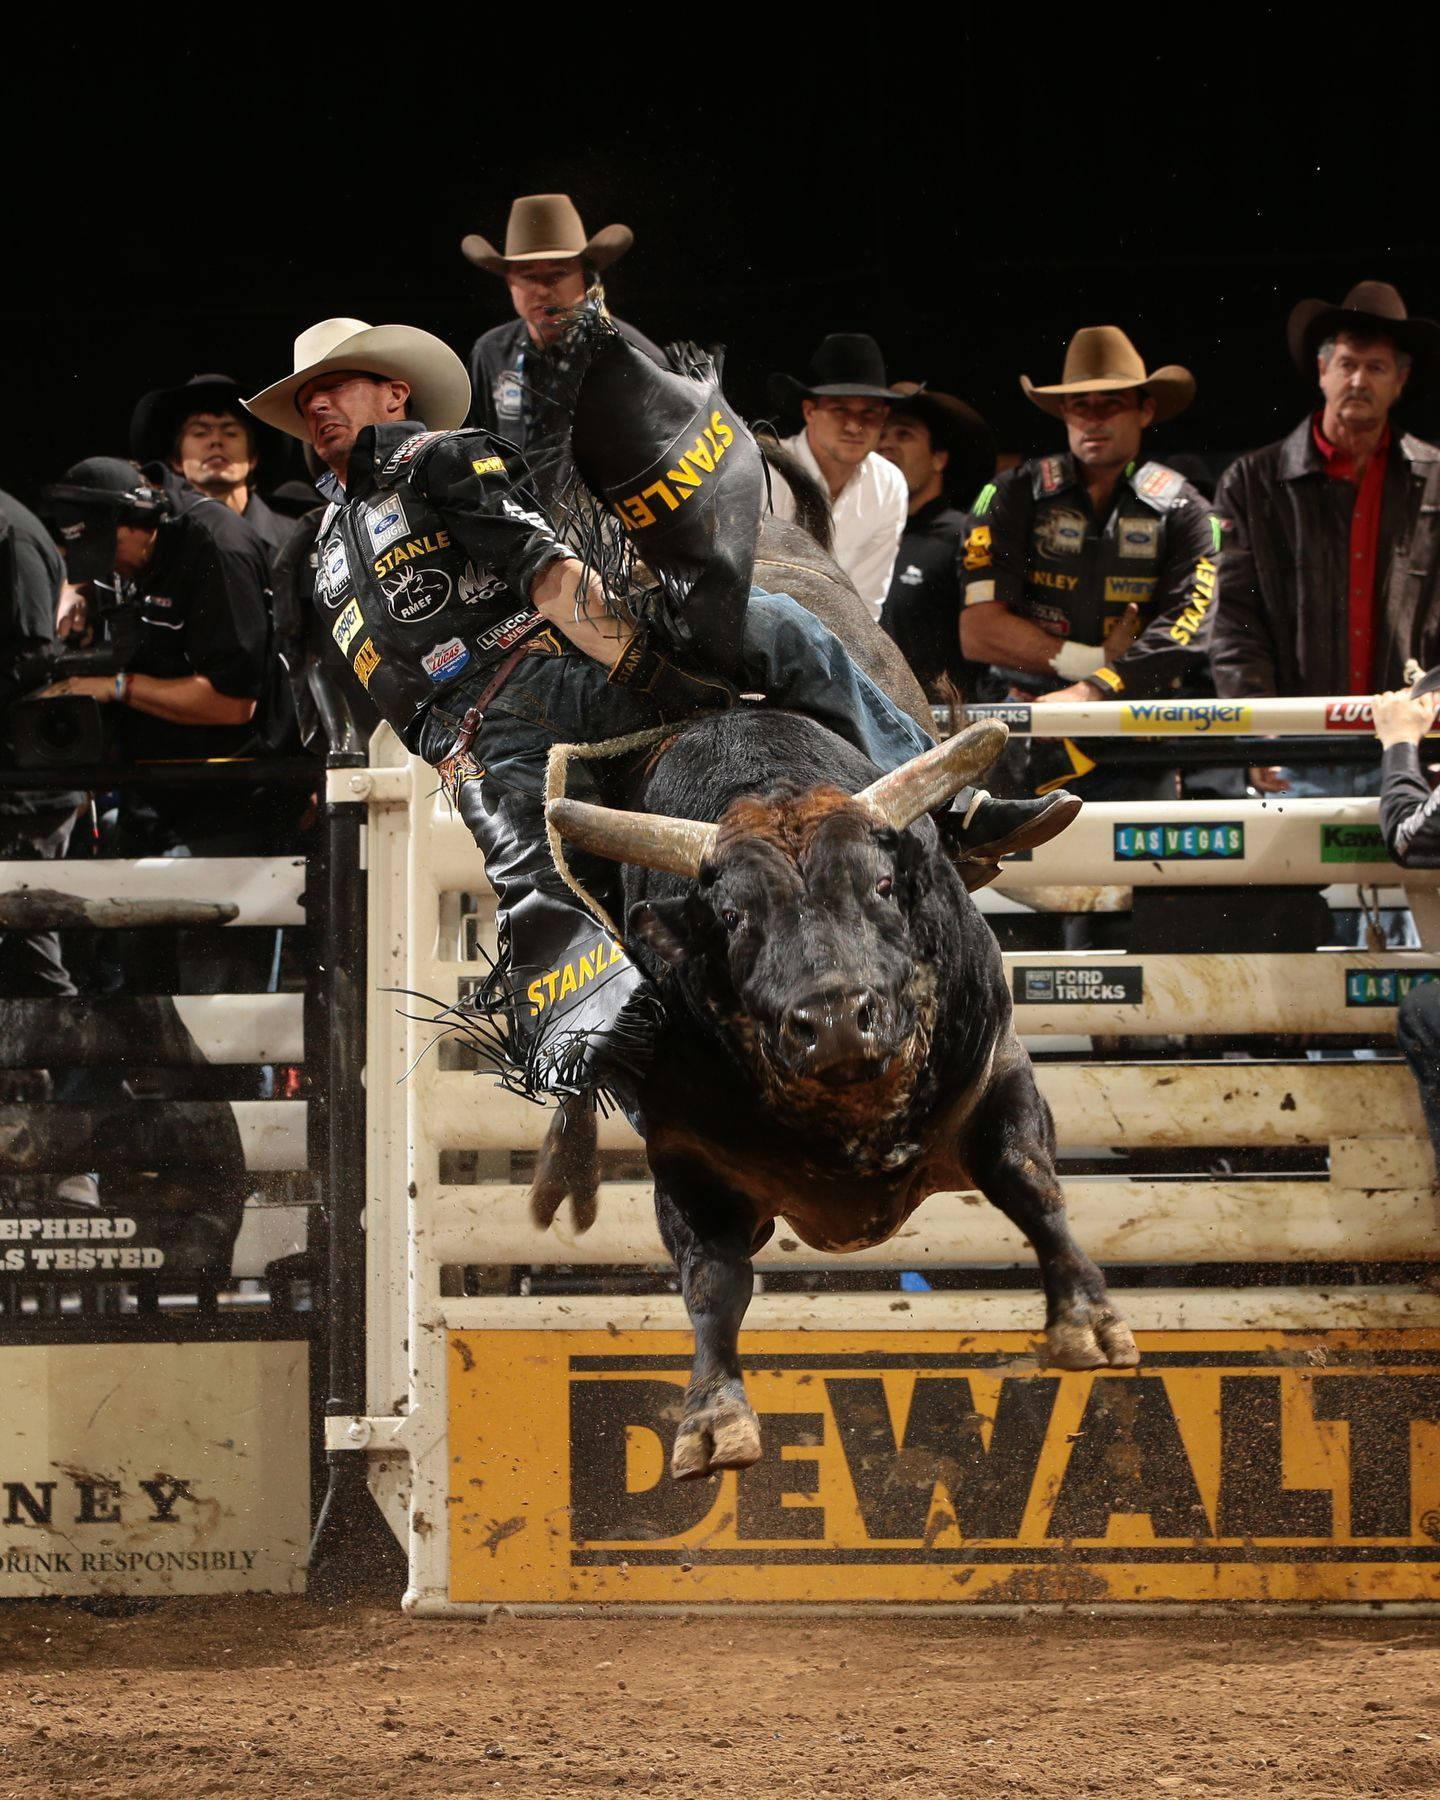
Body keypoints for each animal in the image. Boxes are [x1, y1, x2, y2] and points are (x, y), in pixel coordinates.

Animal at [540, 709, 1137, 1483]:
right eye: (731, 917)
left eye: (881, 885)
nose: (833, 1021)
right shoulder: (682, 1153)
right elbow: (713, 1279)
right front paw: (713, 1415)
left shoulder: (997, 1066)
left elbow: (1027, 1181)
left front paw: (1087, 1319)